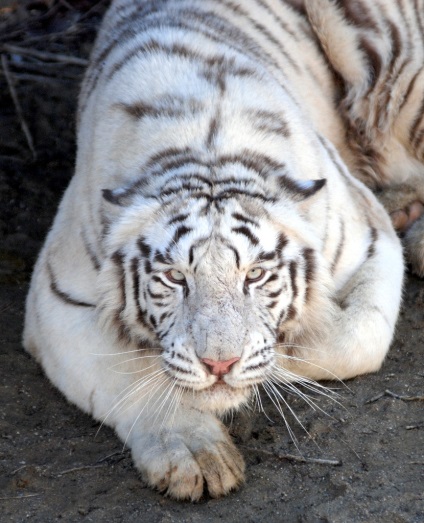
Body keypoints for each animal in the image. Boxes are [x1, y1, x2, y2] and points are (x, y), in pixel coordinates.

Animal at [24, 0, 424, 502]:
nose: (220, 364)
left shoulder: (369, 236)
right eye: (175, 277)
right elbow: (126, 377)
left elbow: (358, 337)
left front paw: (281, 360)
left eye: (254, 274)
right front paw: (193, 453)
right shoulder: (55, 301)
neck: (206, 148)